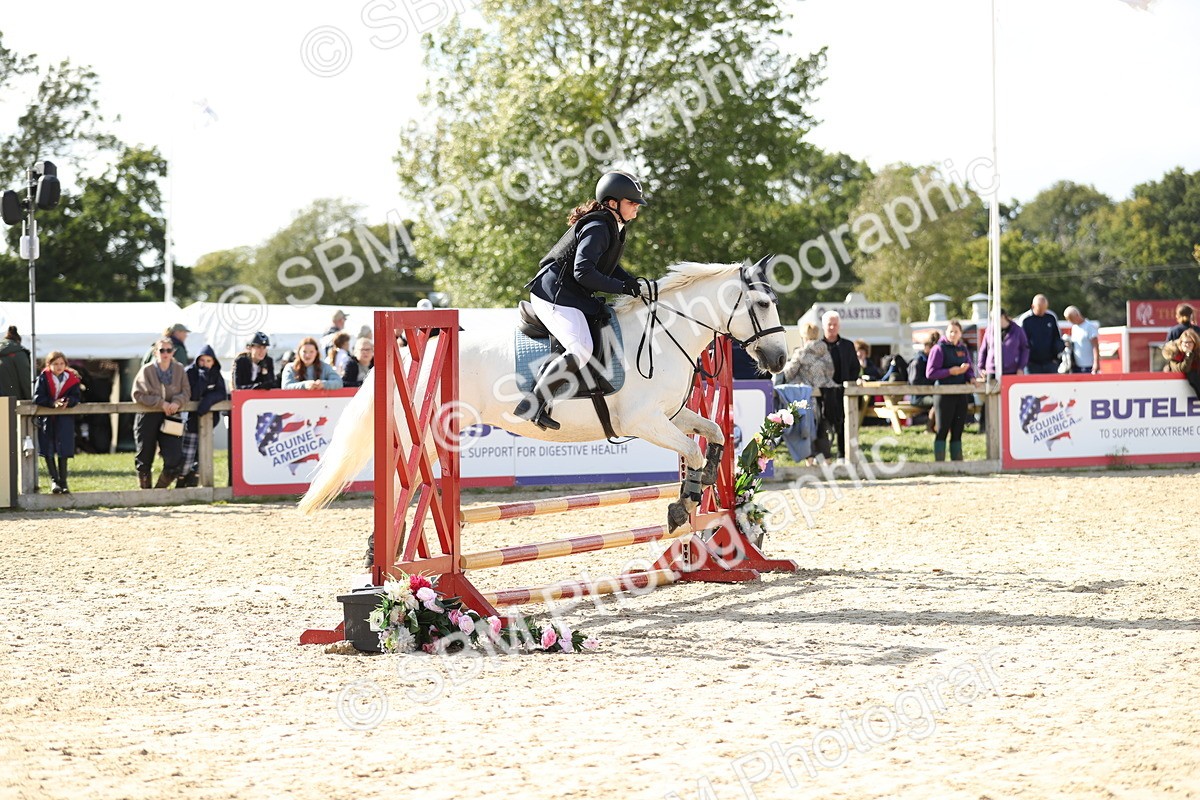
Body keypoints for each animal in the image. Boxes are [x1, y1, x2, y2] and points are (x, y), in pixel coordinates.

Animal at [297, 257, 790, 533]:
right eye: (763, 304)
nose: (780, 358)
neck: (665, 333)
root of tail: (416, 346)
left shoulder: (671, 414)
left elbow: (714, 436)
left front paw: (702, 486)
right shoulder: (642, 421)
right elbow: (692, 448)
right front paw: (681, 506)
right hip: (431, 432)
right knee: (411, 482)